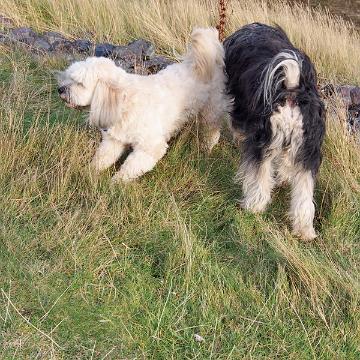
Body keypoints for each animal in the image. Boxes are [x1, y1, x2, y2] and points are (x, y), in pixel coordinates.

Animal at [57, 27, 225, 183]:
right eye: (69, 78)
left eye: (79, 84)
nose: (60, 89)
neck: (124, 102)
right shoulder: (115, 140)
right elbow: (102, 158)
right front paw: (89, 172)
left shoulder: (150, 147)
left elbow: (130, 168)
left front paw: (115, 183)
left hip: (210, 112)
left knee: (211, 132)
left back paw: (206, 148)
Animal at [224, 23, 324, 240]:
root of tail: (292, 90)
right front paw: (284, 178)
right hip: (308, 150)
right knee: (304, 192)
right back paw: (304, 230)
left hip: (264, 142)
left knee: (259, 177)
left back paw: (252, 207)